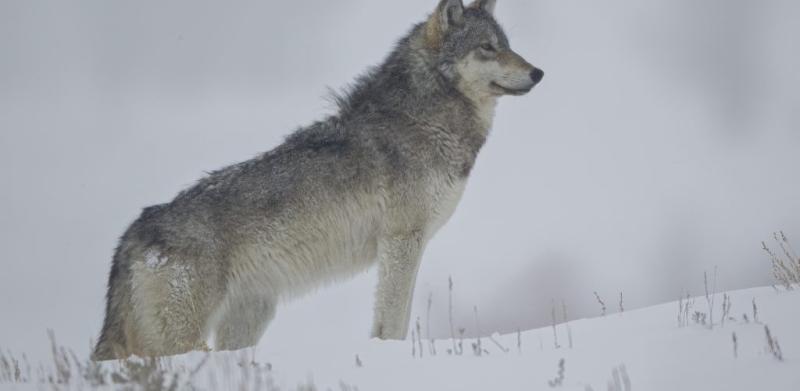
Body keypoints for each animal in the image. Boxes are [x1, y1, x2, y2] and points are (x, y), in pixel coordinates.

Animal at [92, 0, 544, 362]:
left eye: (507, 43)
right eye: (487, 47)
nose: (538, 72)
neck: (424, 120)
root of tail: (131, 233)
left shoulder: (410, 243)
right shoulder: (402, 240)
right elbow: (392, 321)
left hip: (248, 318)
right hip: (182, 338)